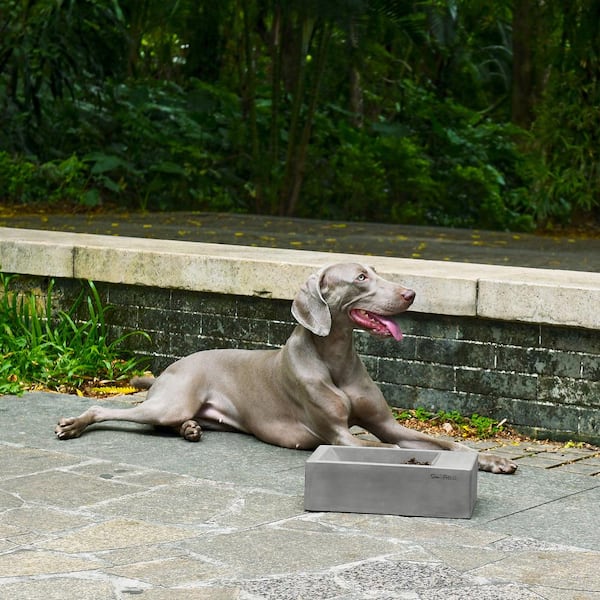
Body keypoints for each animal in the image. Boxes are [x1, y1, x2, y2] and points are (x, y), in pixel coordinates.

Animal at [55, 262, 516, 474]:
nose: (411, 293)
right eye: (361, 277)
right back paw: (74, 424)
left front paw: (490, 460)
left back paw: (189, 429)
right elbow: (385, 450)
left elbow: (447, 444)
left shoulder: (387, 425)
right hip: (169, 400)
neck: (335, 358)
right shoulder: (337, 435)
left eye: (377, 271)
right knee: (108, 409)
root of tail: (173, 365)